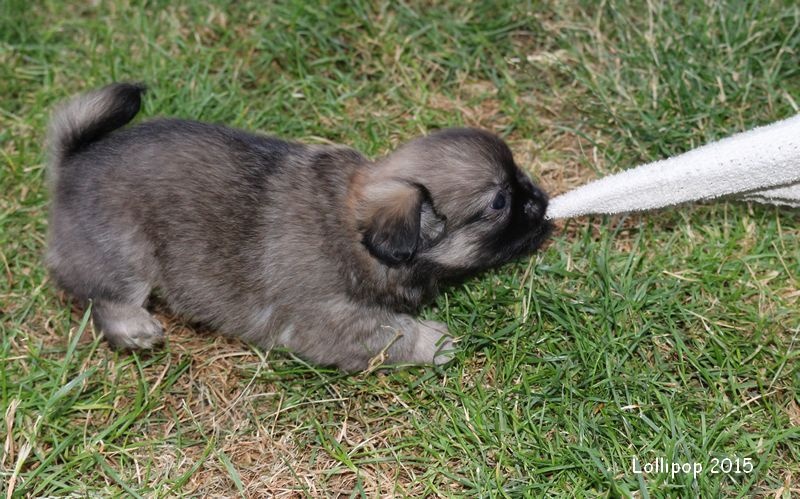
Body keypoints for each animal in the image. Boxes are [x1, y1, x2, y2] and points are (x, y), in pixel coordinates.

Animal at [47, 83, 552, 372]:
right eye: (500, 202)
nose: (541, 199)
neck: (354, 234)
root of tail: (71, 166)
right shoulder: (325, 319)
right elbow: (388, 331)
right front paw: (434, 342)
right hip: (125, 256)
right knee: (106, 299)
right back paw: (135, 329)